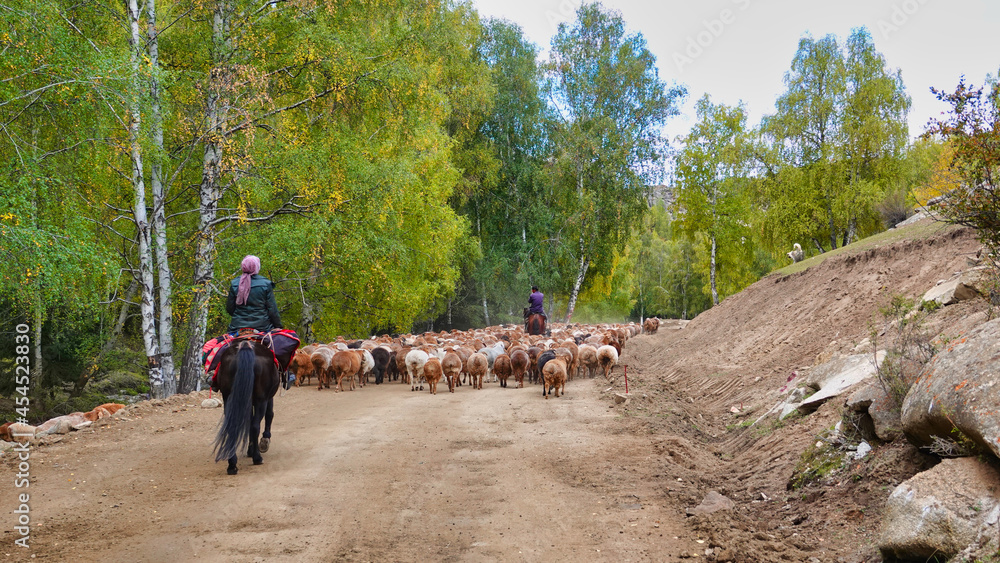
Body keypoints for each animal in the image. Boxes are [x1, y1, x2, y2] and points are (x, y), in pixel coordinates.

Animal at [213, 340, 280, 476]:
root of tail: (245, 346)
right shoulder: (267, 398)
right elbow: (269, 414)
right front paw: (264, 441)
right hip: (260, 400)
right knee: (255, 425)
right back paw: (257, 458)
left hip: (229, 398)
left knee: (232, 426)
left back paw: (232, 465)